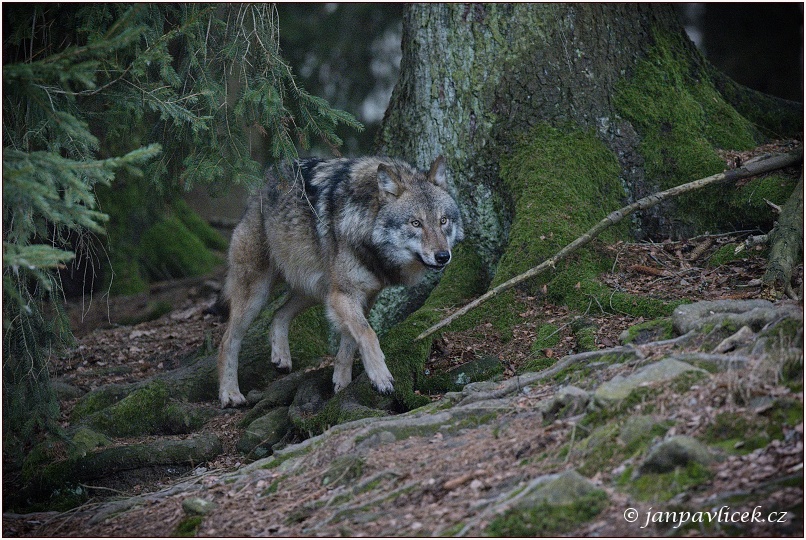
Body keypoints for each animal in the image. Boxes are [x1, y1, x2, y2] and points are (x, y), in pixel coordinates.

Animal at [218, 154, 464, 408]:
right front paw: (381, 378)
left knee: (279, 314)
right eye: (416, 223)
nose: (443, 256)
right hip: (257, 294)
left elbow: (350, 342)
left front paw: (342, 383)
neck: (365, 229)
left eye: (443, 221)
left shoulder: (364, 297)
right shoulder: (344, 294)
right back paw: (230, 394)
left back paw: (281, 357)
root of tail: (264, 179)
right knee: (227, 340)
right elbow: (367, 334)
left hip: (316, 291)